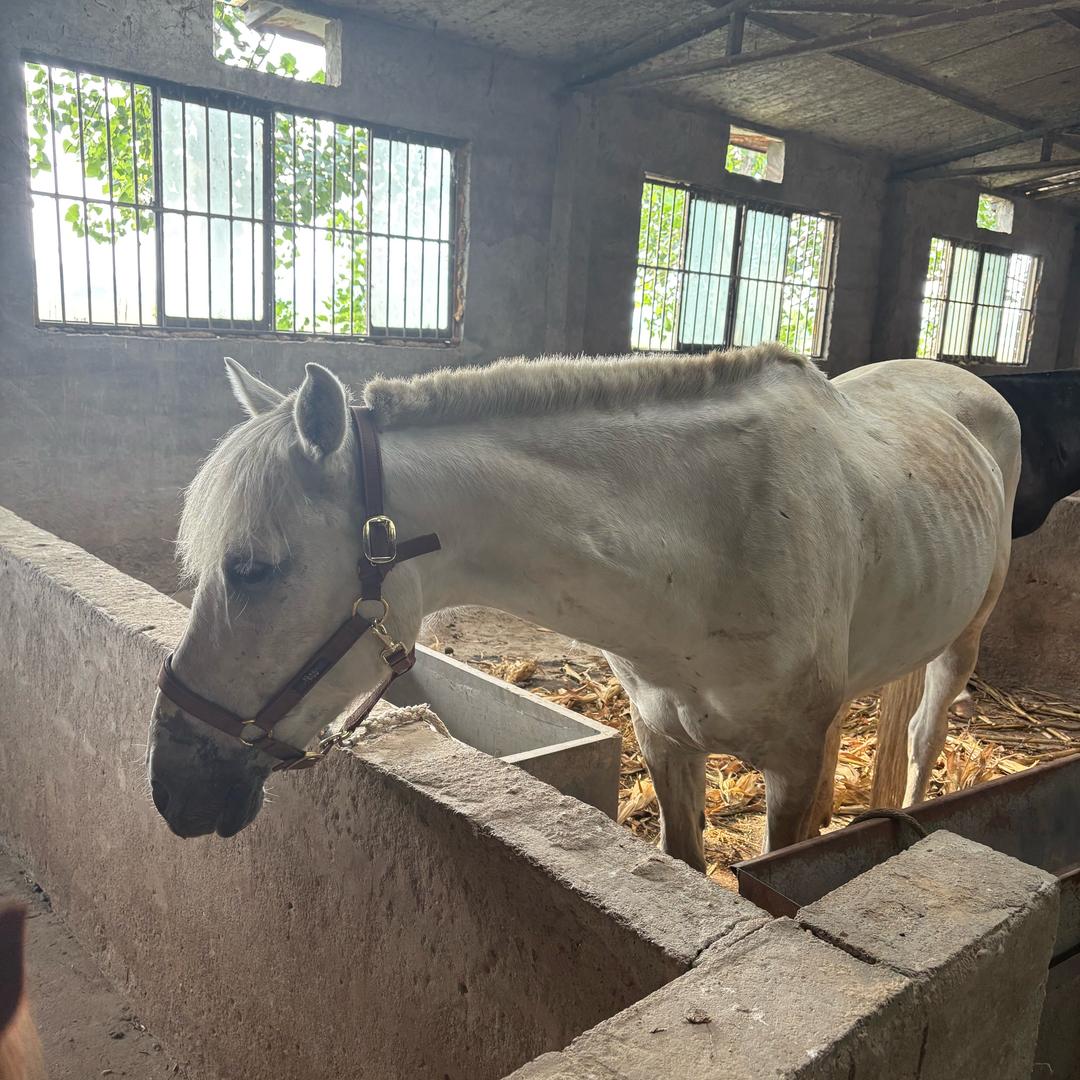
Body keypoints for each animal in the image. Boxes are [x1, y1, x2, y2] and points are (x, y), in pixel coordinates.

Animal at [146, 346, 1019, 869]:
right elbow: (684, 858)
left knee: (925, 733)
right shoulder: (664, 739)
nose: (171, 789)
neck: (713, 540)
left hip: (965, 639)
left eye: (253, 568)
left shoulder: (800, 763)